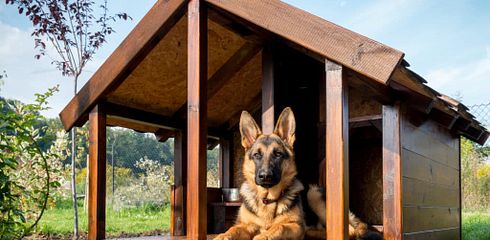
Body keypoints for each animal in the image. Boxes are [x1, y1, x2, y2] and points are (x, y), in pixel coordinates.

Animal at [215, 108, 306, 239]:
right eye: (257, 155)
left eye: (278, 154)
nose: (265, 176)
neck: (267, 199)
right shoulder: (246, 225)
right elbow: (233, 229)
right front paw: (223, 235)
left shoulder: (297, 226)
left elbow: (280, 226)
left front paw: (263, 235)